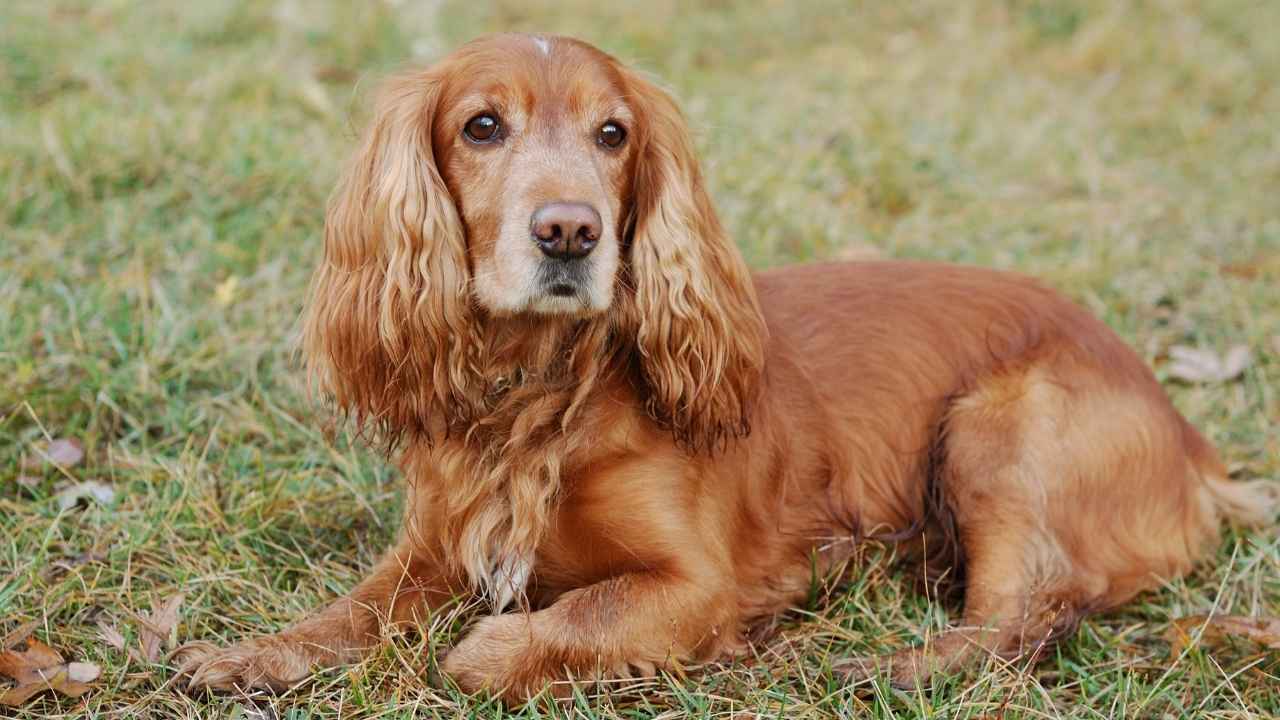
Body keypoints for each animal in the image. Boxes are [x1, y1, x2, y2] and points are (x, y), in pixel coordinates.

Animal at [177, 35, 1269, 702]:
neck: (539, 395)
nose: (568, 231)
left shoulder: (696, 582)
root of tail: (1192, 444)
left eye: (612, 133)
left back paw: (883, 665)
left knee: (1027, 615)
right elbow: (345, 613)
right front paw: (246, 655)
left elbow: (542, 626)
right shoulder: (433, 550)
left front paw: (510, 650)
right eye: (480, 125)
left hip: (997, 425)